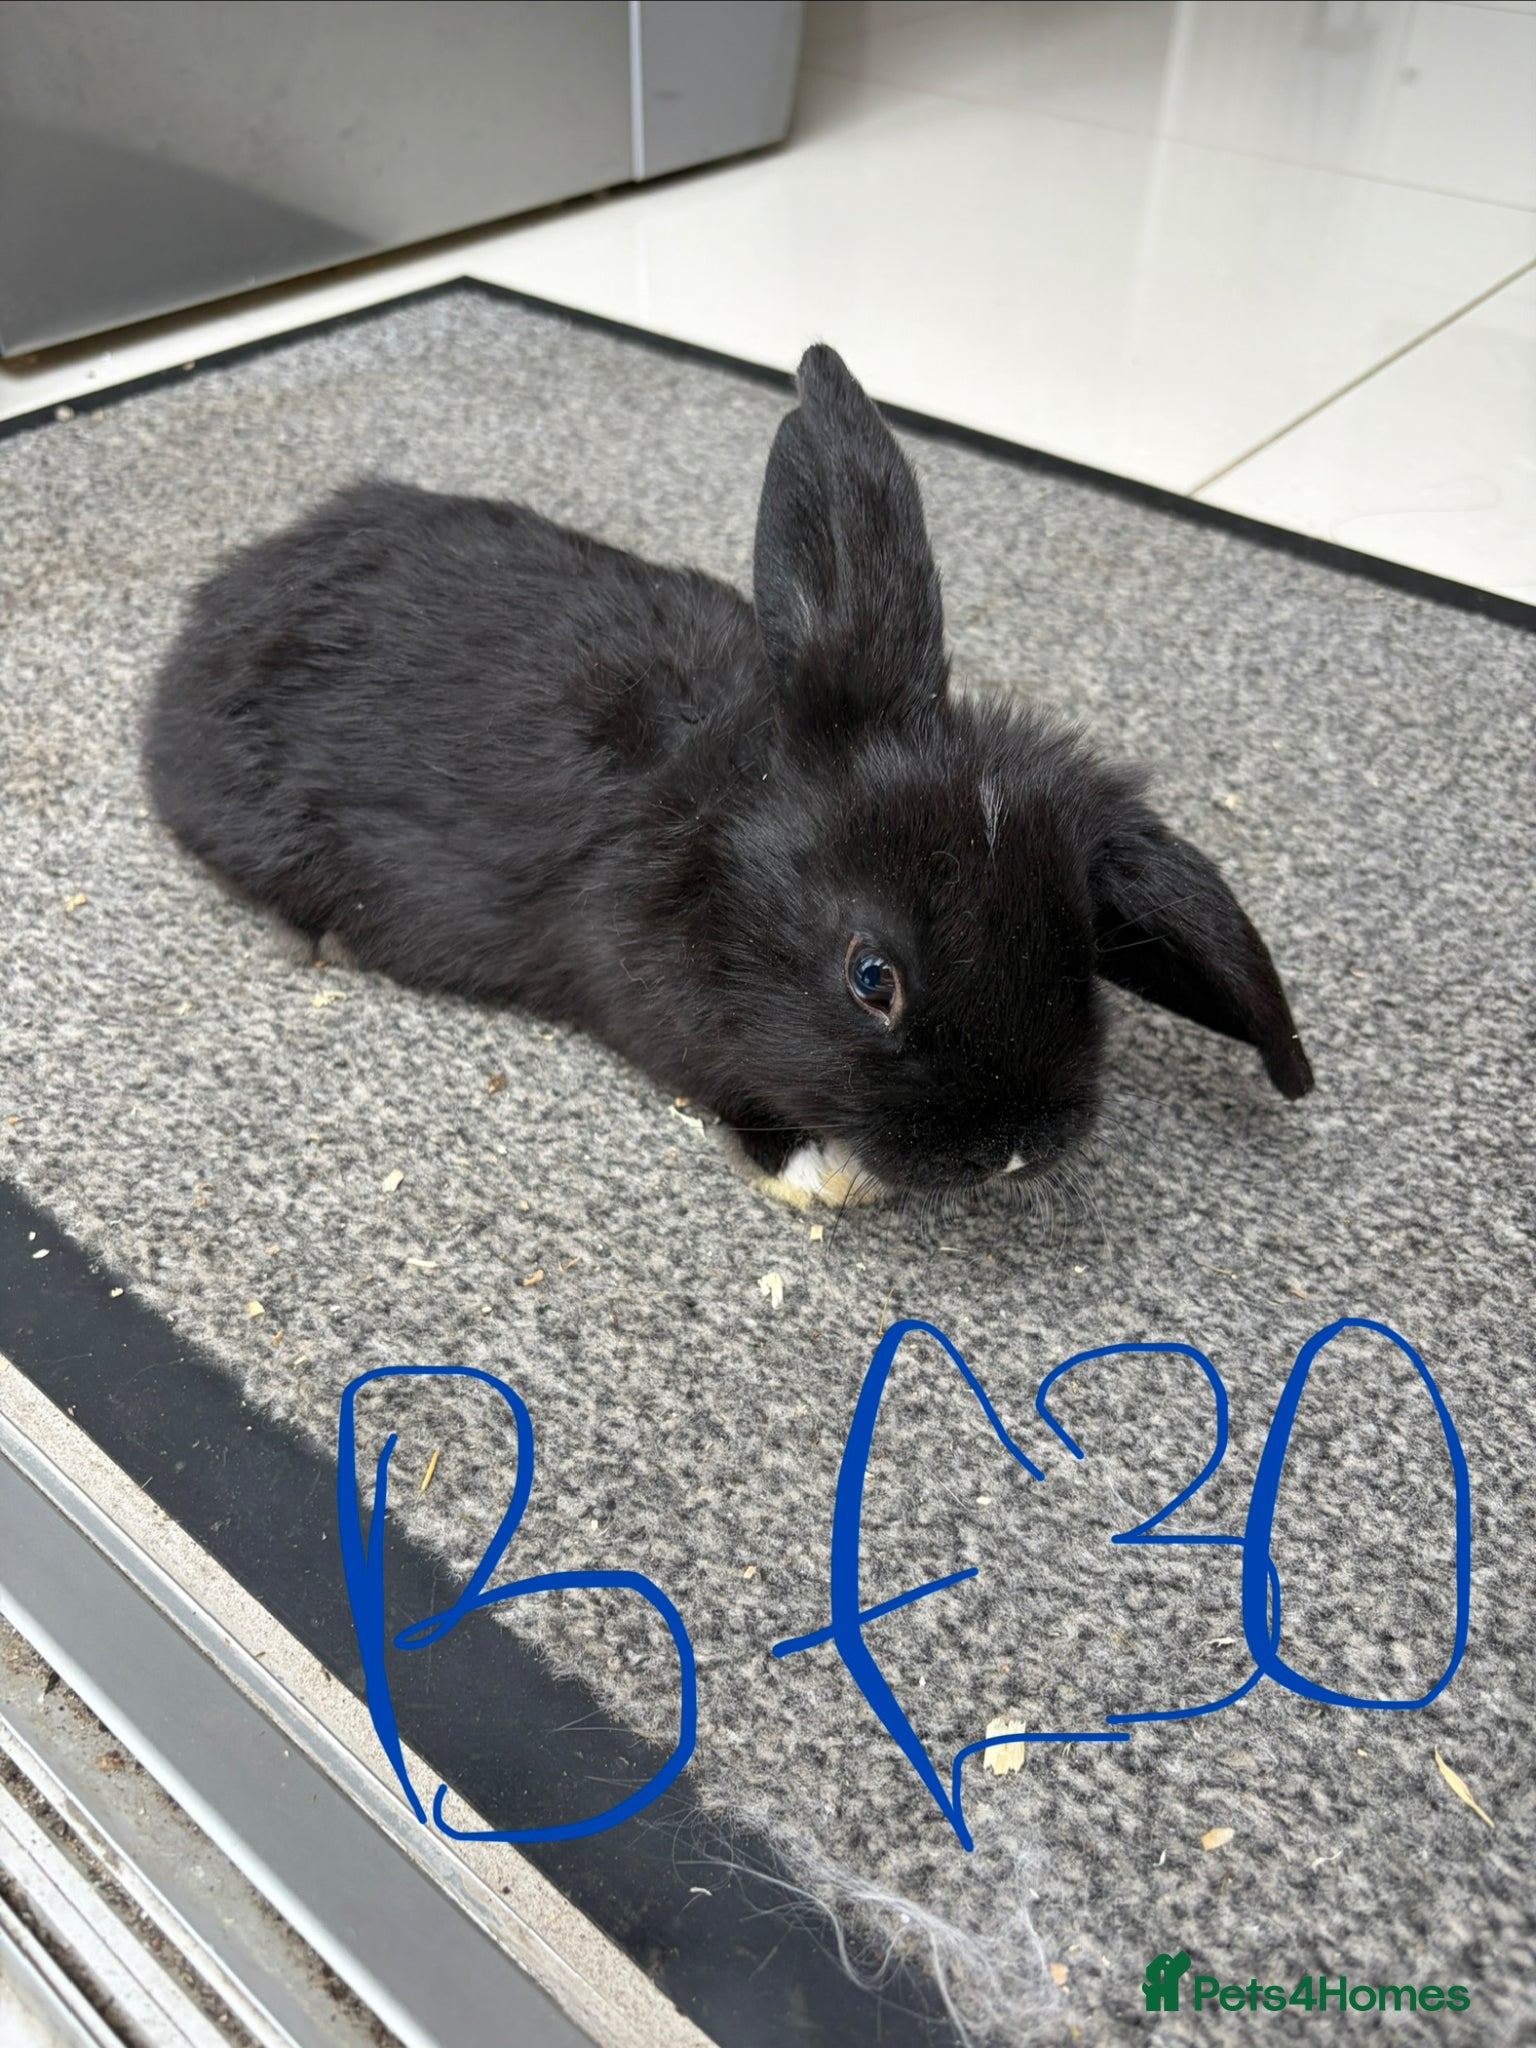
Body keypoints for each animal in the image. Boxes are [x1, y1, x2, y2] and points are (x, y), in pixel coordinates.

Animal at [143, 343, 1313, 1207]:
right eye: (872, 977)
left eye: (1079, 951)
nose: (1015, 1145)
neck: (716, 832)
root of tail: (221, 604)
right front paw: (808, 1168)